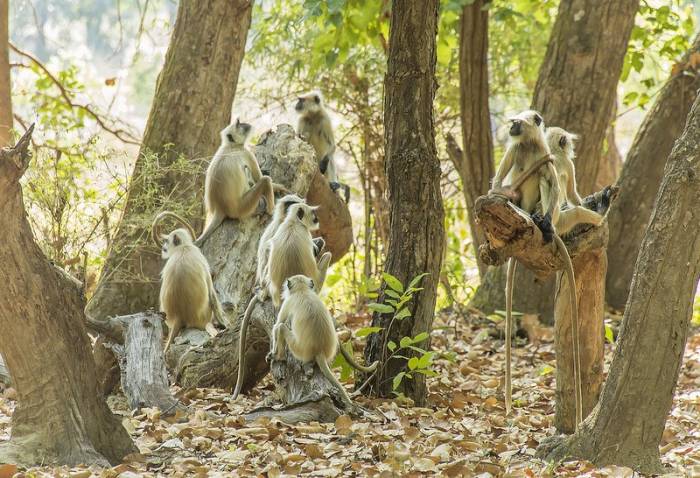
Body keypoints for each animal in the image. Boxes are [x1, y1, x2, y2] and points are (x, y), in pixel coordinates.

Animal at [152, 211, 224, 352]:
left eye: (166, 241)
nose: (163, 247)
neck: (183, 248)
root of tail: (179, 316)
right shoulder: (200, 255)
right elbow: (212, 294)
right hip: (204, 316)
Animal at [270, 276, 380, 408]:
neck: (302, 290)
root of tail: (319, 350)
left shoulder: (288, 302)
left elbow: (277, 326)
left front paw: (272, 354)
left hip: (298, 349)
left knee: (281, 328)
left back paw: (280, 357)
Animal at [490, 110, 584, 428]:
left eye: (518, 122)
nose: (511, 127)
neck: (529, 144)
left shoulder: (544, 154)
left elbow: (551, 179)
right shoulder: (516, 149)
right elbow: (497, 181)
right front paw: (500, 192)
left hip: (537, 201)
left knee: (545, 180)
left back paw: (541, 222)